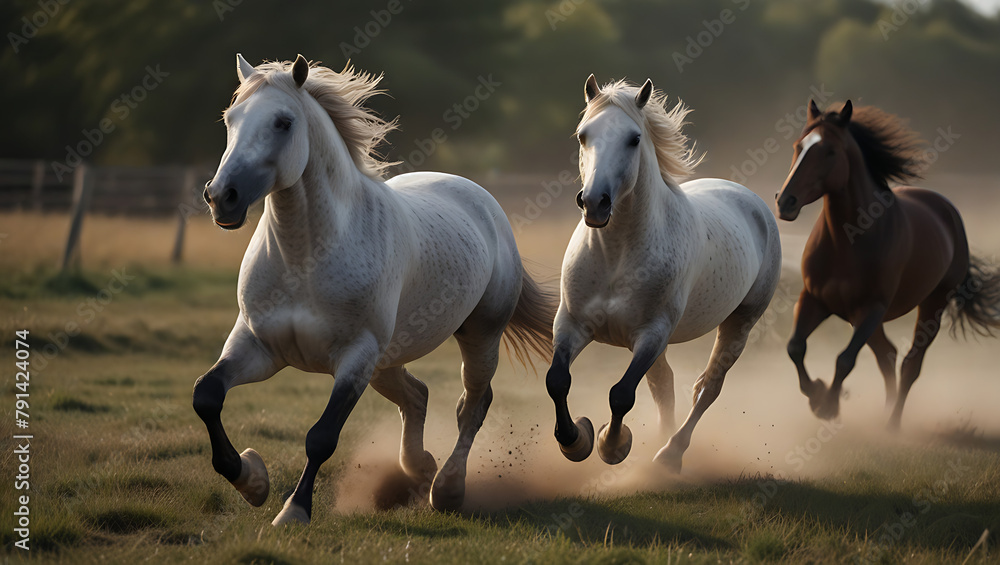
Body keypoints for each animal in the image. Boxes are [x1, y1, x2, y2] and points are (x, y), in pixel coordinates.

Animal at [192, 54, 556, 526]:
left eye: (283, 122)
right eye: (230, 118)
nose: (222, 197)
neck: (305, 260)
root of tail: (481, 198)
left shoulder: (355, 359)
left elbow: (321, 437)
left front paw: (294, 510)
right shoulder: (257, 346)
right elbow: (207, 395)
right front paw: (252, 481)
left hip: (478, 336)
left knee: (472, 405)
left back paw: (447, 490)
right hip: (388, 359)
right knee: (417, 396)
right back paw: (419, 470)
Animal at [544, 75, 782, 472]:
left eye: (633, 138)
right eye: (583, 135)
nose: (594, 202)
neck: (618, 257)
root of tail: (752, 201)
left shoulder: (652, 334)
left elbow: (622, 394)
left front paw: (613, 444)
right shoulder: (572, 324)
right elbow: (557, 381)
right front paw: (576, 440)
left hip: (740, 323)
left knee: (707, 388)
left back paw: (669, 455)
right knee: (667, 385)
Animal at [776, 100, 1000, 430]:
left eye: (830, 151)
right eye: (798, 146)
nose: (785, 202)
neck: (848, 241)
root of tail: (947, 211)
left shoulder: (871, 308)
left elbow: (845, 359)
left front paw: (828, 405)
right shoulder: (815, 300)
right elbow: (795, 347)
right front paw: (817, 394)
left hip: (931, 305)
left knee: (909, 363)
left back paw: (892, 425)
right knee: (889, 356)